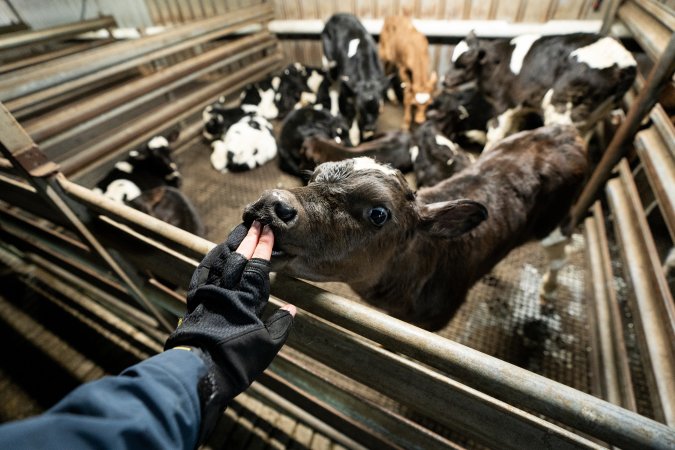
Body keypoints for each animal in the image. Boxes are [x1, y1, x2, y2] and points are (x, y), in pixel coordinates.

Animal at [243, 125, 588, 328]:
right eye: (312, 177)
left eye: (378, 213)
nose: (272, 203)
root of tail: (566, 130)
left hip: (555, 223)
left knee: (564, 251)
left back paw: (547, 292)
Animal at [324, 12, 388, 146]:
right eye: (360, 109)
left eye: (379, 109)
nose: (369, 127)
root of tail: (336, 15)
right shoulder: (348, 90)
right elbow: (351, 112)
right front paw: (354, 136)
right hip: (330, 62)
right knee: (333, 89)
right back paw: (334, 111)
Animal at [446, 32, 636, 148]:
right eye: (452, 61)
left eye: (463, 64)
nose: (444, 81)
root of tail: (624, 63)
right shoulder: (520, 106)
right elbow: (512, 131)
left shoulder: (503, 105)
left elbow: (495, 134)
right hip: (593, 117)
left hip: (560, 107)